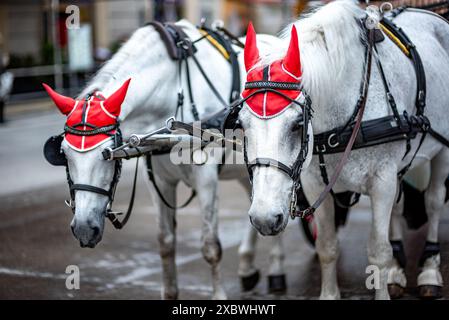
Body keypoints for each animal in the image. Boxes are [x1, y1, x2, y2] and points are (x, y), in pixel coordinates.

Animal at [50, 20, 286, 300]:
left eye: (107, 153)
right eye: (64, 154)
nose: (85, 228)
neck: (173, 87)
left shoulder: (206, 177)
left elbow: (210, 247)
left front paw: (218, 295)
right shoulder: (159, 180)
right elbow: (165, 243)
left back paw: (276, 271)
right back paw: (248, 266)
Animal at [238, 0, 448, 300]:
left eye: (297, 124)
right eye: (242, 124)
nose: (264, 218)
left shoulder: (382, 181)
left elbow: (379, 252)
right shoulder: (315, 184)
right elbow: (327, 247)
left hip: (442, 151)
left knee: (433, 202)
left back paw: (430, 269)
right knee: (398, 208)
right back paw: (398, 270)